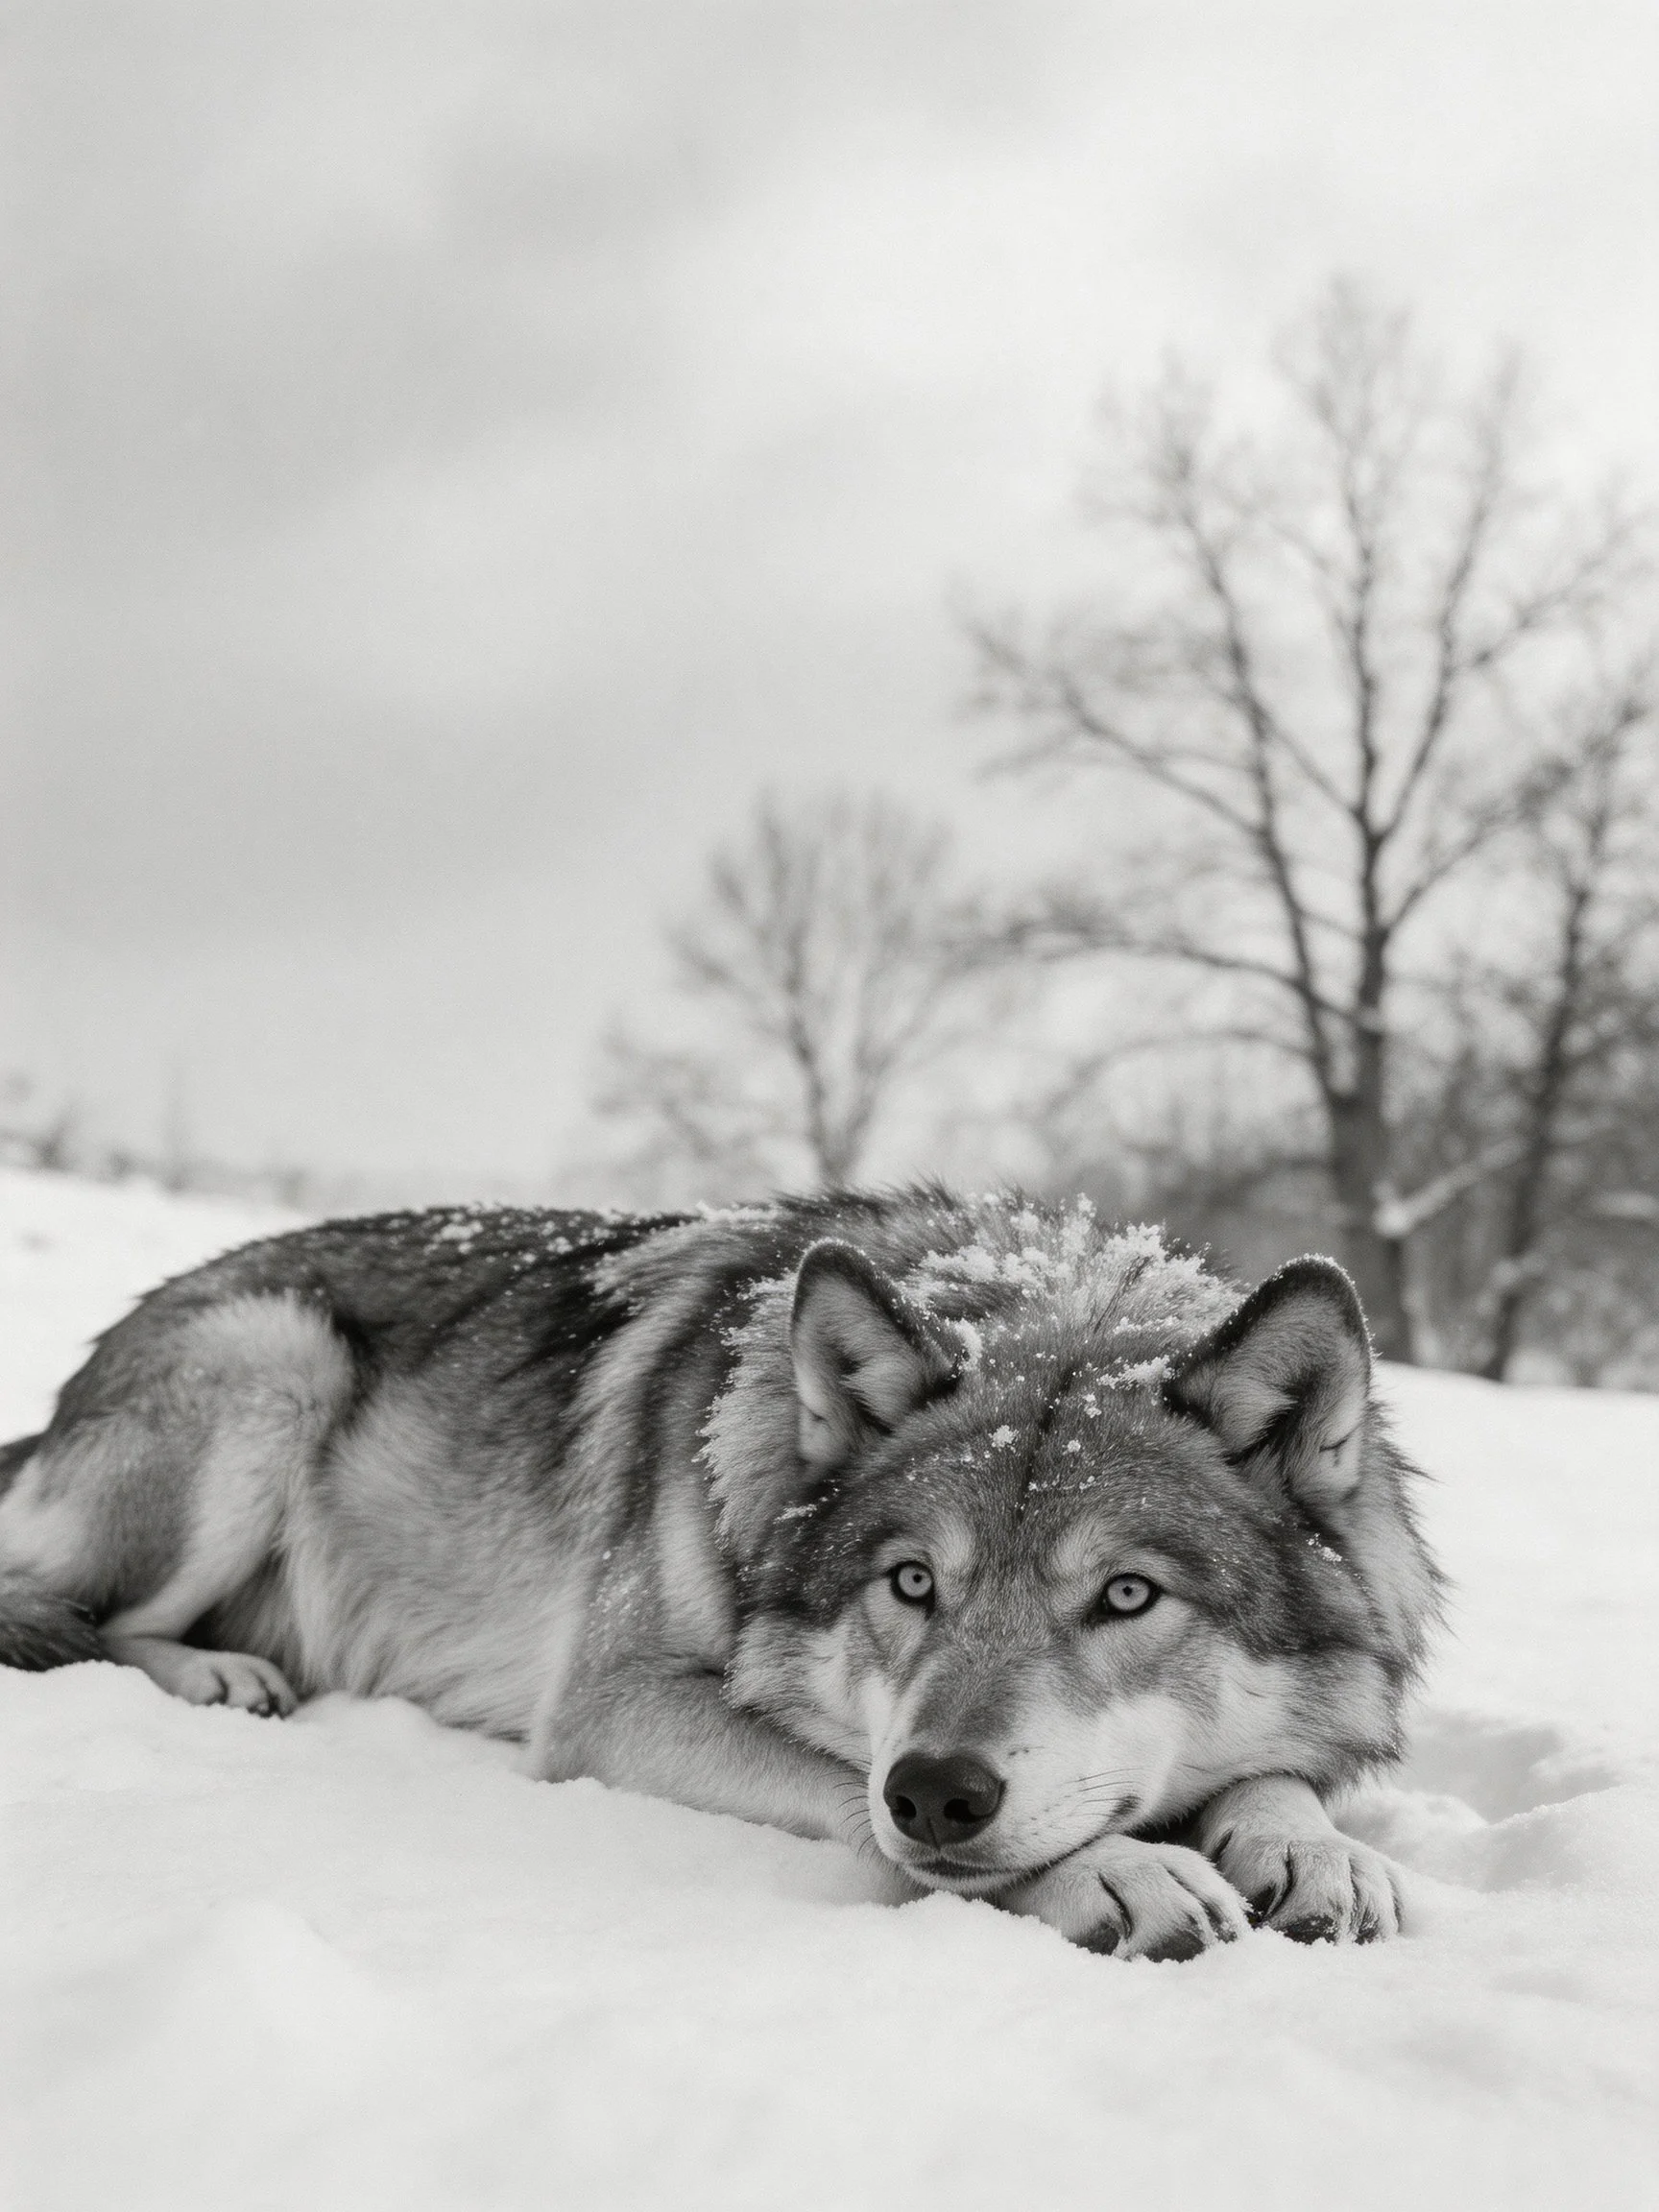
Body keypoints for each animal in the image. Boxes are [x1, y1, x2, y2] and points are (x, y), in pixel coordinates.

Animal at [0, 1187, 1439, 1959]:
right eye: (911, 1585)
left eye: (1127, 1597)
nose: (938, 1790)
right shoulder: (612, 1709)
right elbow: (857, 1797)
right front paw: (1115, 1873)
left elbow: (1283, 1775)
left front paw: (1314, 1852)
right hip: (272, 1362)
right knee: (62, 1609)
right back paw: (219, 1674)